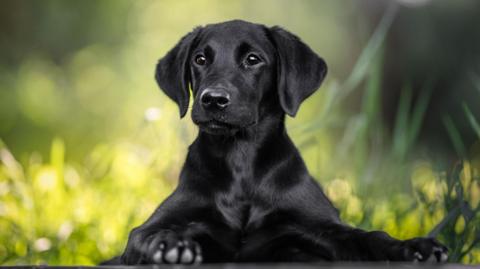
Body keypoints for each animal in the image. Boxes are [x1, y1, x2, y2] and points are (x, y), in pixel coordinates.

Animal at [107, 20, 448, 264]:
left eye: (253, 59)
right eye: (200, 59)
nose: (213, 100)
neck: (241, 159)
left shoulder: (322, 228)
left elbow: (368, 237)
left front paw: (414, 247)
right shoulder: (153, 226)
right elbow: (149, 234)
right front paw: (169, 244)